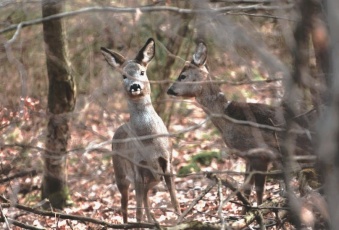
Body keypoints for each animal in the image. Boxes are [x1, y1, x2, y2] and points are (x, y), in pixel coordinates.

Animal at [101, 38, 181, 223]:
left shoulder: (167, 162)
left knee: (145, 197)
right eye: (124, 75)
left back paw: (153, 222)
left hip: (152, 178)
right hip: (120, 173)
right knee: (124, 204)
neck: (150, 141)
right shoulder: (137, 167)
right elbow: (137, 212)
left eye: (142, 72)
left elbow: (174, 201)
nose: (135, 86)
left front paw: (183, 218)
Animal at [167, 41, 316, 208]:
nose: (169, 90)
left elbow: (259, 191)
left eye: (182, 76)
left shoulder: (261, 154)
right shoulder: (247, 157)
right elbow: (246, 189)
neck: (227, 119)